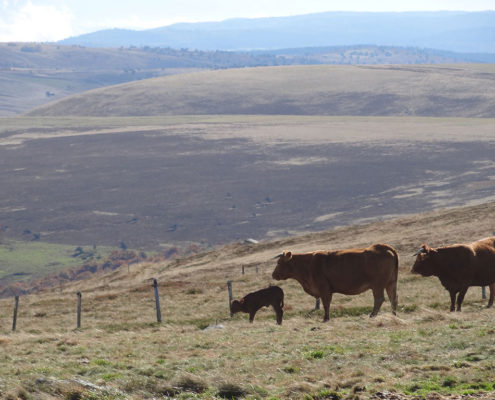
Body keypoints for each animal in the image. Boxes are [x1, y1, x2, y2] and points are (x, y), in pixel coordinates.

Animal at [272, 244, 400, 322]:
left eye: (279, 262)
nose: (273, 274)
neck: (307, 265)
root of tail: (385, 247)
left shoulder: (324, 288)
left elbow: (326, 303)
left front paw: (326, 318)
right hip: (391, 283)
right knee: (393, 298)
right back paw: (393, 315)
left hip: (378, 285)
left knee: (379, 299)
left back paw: (372, 315)